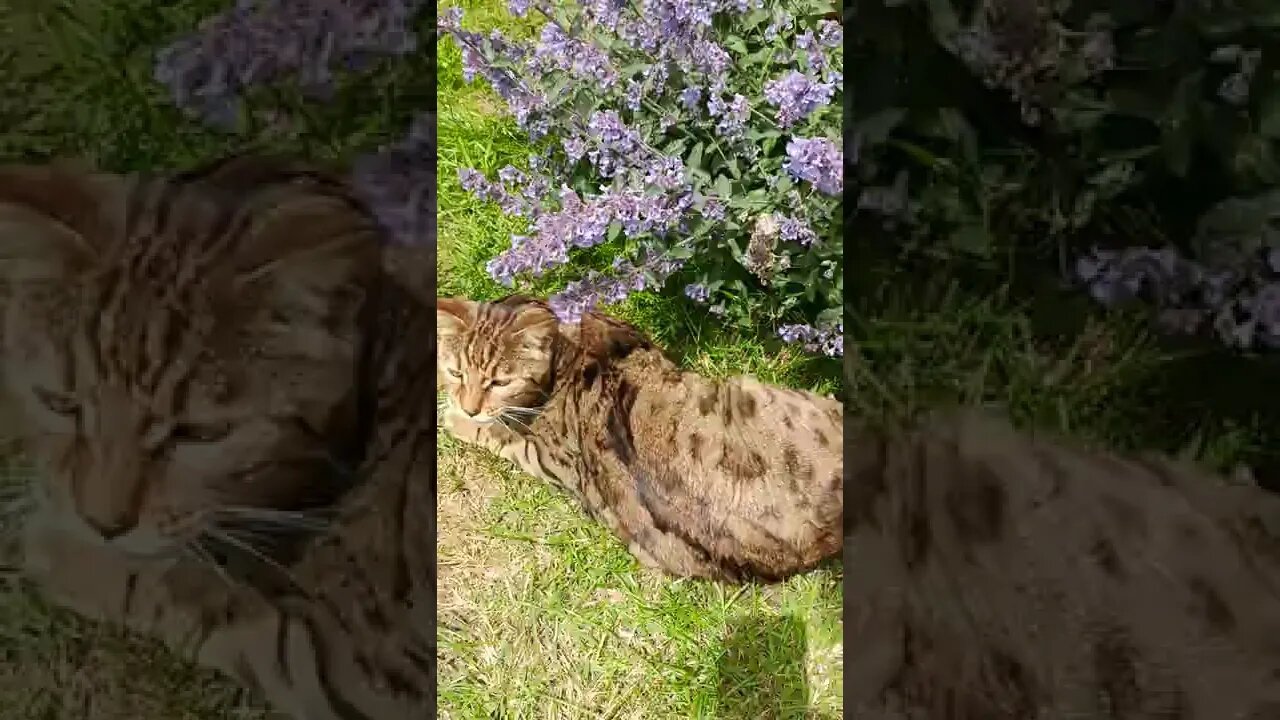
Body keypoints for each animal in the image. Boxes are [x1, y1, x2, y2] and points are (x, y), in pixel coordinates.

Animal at [0, 155, 435, 717]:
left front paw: (69, 552)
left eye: (200, 433)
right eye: (58, 403)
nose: (101, 525)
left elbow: (186, 596)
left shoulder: (349, 662)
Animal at [435, 294, 844, 579]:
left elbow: (501, 433)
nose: (468, 406)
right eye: (456, 373)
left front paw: (457, 417)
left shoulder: (550, 459)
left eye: (500, 382)